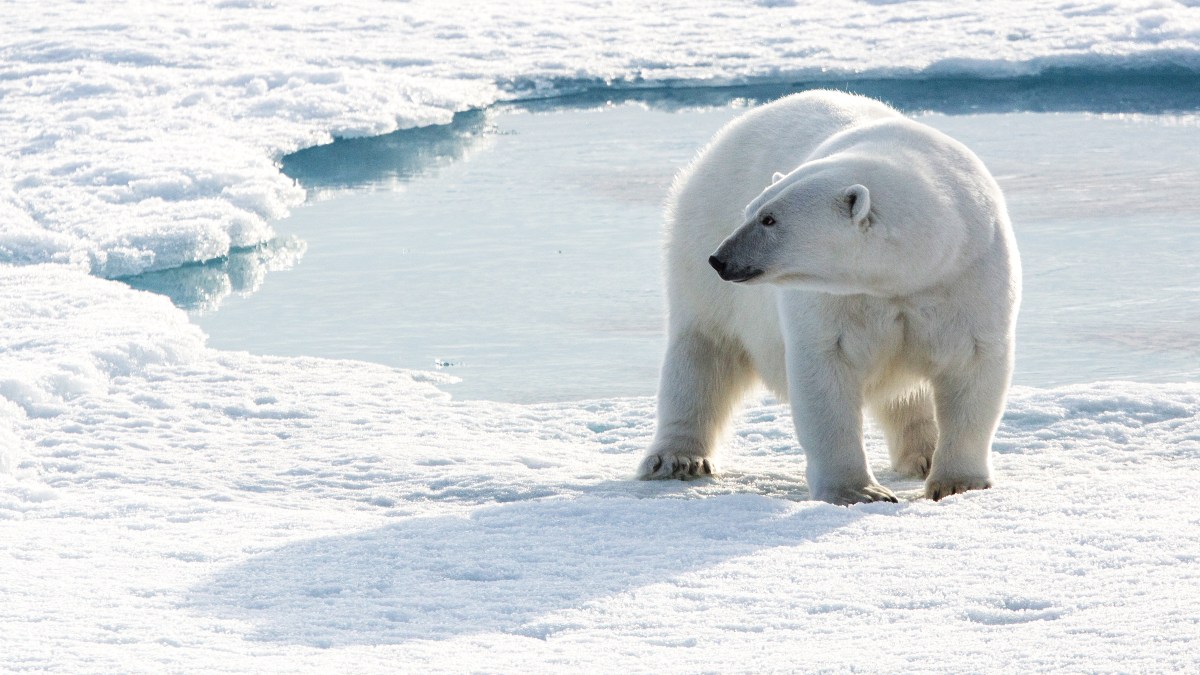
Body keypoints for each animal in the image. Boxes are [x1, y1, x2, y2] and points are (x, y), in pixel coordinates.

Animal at [637, 90, 1021, 505]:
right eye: (751, 211)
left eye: (769, 219)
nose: (721, 258)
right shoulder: (833, 300)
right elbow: (825, 370)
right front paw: (860, 491)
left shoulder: (966, 277)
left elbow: (972, 364)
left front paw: (957, 483)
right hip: (702, 242)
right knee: (703, 351)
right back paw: (677, 459)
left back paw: (923, 454)